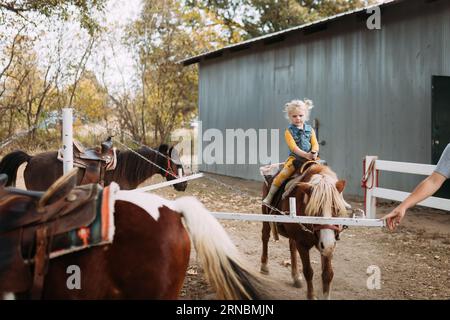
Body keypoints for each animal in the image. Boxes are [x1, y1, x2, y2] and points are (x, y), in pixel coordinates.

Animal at [260, 165, 348, 300]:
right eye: (315, 211)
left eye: (336, 209)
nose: (328, 244)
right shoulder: (302, 244)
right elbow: (308, 271)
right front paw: (311, 295)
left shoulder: (328, 246)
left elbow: (327, 274)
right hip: (265, 216)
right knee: (265, 237)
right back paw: (264, 265)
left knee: (292, 246)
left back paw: (296, 276)